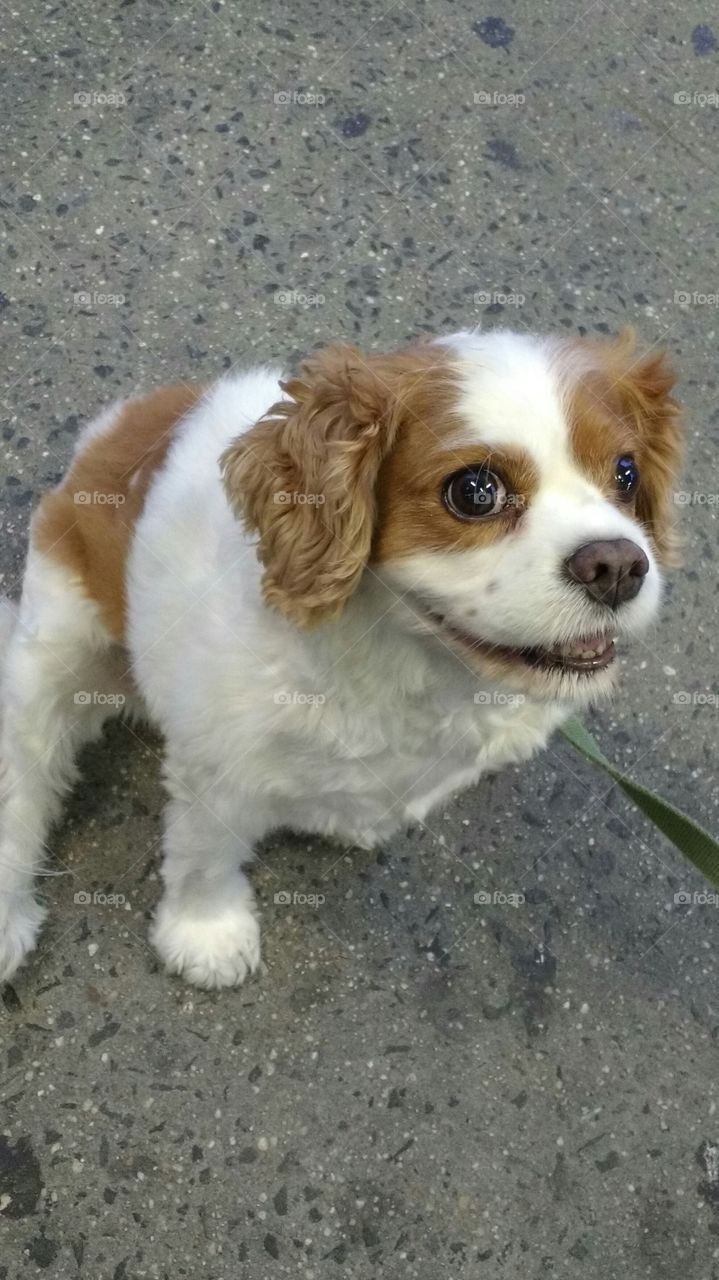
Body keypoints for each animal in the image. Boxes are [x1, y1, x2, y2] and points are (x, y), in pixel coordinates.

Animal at [0, 330, 675, 988]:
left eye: (627, 472)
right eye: (476, 491)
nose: (618, 565)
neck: (415, 662)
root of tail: (121, 425)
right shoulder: (219, 766)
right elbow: (204, 856)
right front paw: (206, 933)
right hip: (57, 652)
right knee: (24, 775)